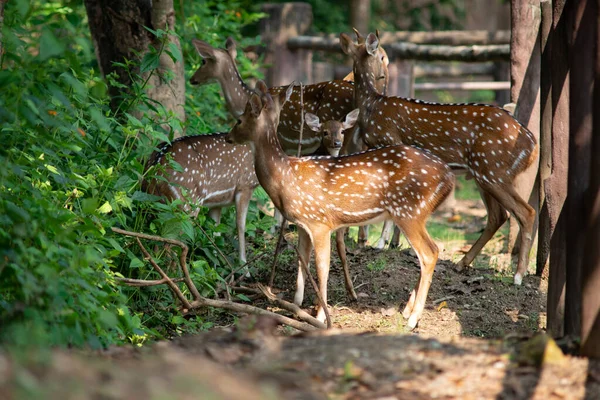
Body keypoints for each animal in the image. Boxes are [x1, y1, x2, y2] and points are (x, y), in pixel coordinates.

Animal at [146, 134, 260, 266]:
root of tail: (157, 167)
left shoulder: (217, 202)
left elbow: (215, 230)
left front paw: (216, 264)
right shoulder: (245, 186)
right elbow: (241, 226)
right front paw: (243, 266)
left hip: (158, 204)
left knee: (159, 239)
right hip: (188, 203)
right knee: (173, 246)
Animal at [229, 83, 454, 328]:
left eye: (239, 120)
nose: (229, 136)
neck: (284, 177)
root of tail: (449, 176)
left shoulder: (319, 222)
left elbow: (322, 267)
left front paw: (320, 315)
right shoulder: (303, 223)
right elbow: (302, 261)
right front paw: (296, 306)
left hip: (408, 210)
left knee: (430, 253)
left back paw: (413, 320)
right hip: (417, 212)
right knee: (427, 254)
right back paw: (406, 311)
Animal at [342, 32, 540, 286]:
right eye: (383, 57)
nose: (384, 75)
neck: (372, 105)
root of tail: (531, 144)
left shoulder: (392, 142)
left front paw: (381, 244)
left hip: (493, 170)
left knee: (525, 212)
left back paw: (518, 276)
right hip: (484, 174)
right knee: (498, 216)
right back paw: (462, 264)